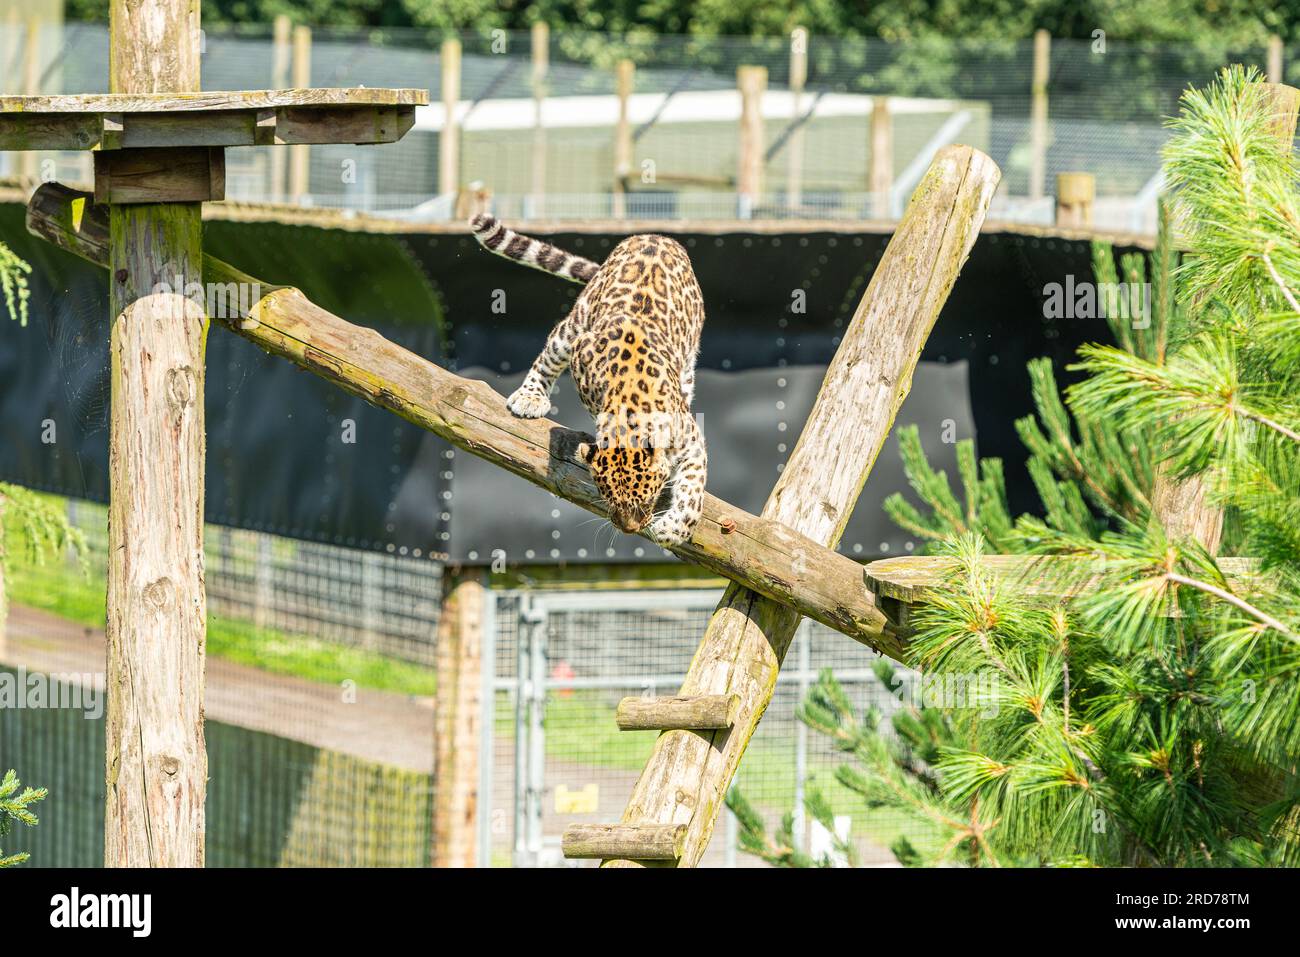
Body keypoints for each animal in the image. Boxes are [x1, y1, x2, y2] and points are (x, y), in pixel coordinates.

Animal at [473, 214, 707, 546]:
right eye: (607, 498)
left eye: (647, 500)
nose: (629, 529)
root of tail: (655, 235)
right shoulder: (581, 352)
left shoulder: (691, 437)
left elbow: (693, 490)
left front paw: (673, 529)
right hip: (576, 323)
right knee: (549, 354)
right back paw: (529, 397)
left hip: (687, 364)